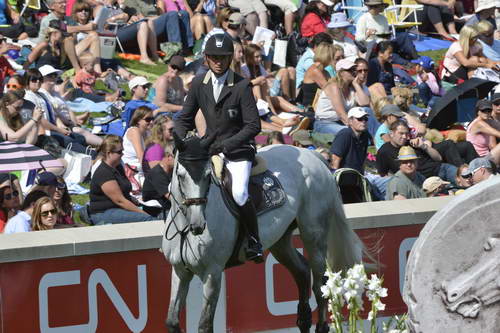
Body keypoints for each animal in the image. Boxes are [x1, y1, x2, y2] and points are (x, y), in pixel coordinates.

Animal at [162, 141, 370, 332]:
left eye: (207, 176)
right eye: (180, 176)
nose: (198, 225)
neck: (184, 227)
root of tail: (312, 156)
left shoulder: (212, 273)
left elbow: (205, 325)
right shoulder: (179, 271)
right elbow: (172, 321)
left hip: (314, 235)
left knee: (320, 286)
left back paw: (320, 325)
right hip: (281, 242)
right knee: (302, 271)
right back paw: (303, 321)